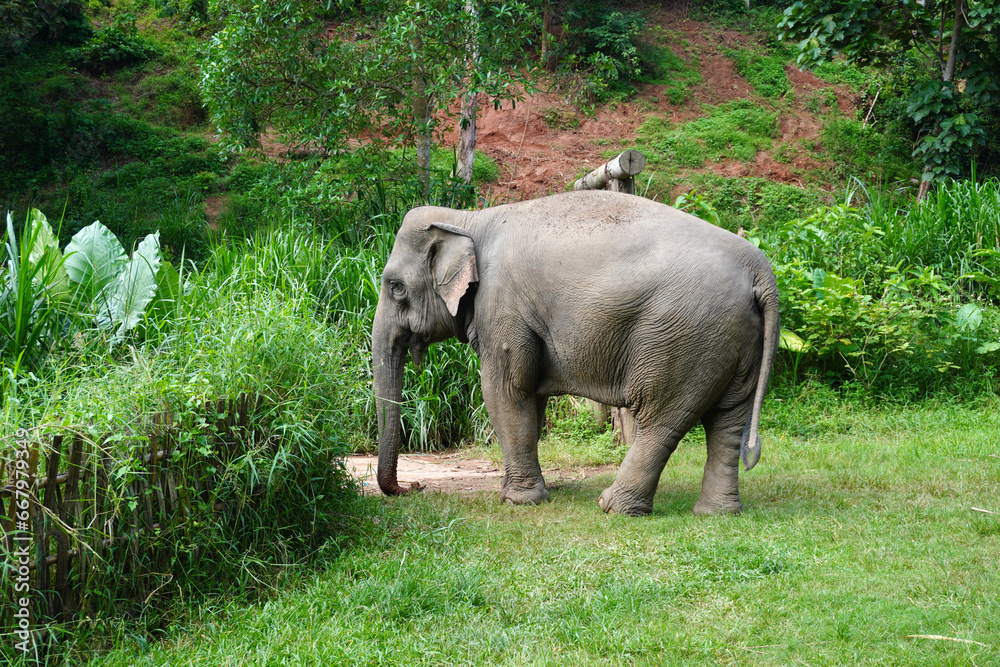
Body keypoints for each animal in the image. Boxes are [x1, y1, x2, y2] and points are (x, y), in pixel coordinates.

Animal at [372, 188, 776, 516]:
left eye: (395, 287)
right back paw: (716, 513)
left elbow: (505, 391)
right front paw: (515, 492)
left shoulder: (503, 308)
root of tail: (760, 269)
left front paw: (519, 501)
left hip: (681, 338)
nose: (414, 486)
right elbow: (530, 402)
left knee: (661, 420)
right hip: (734, 340)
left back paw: (612, 506)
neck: (467, 218)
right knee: (727, 422)